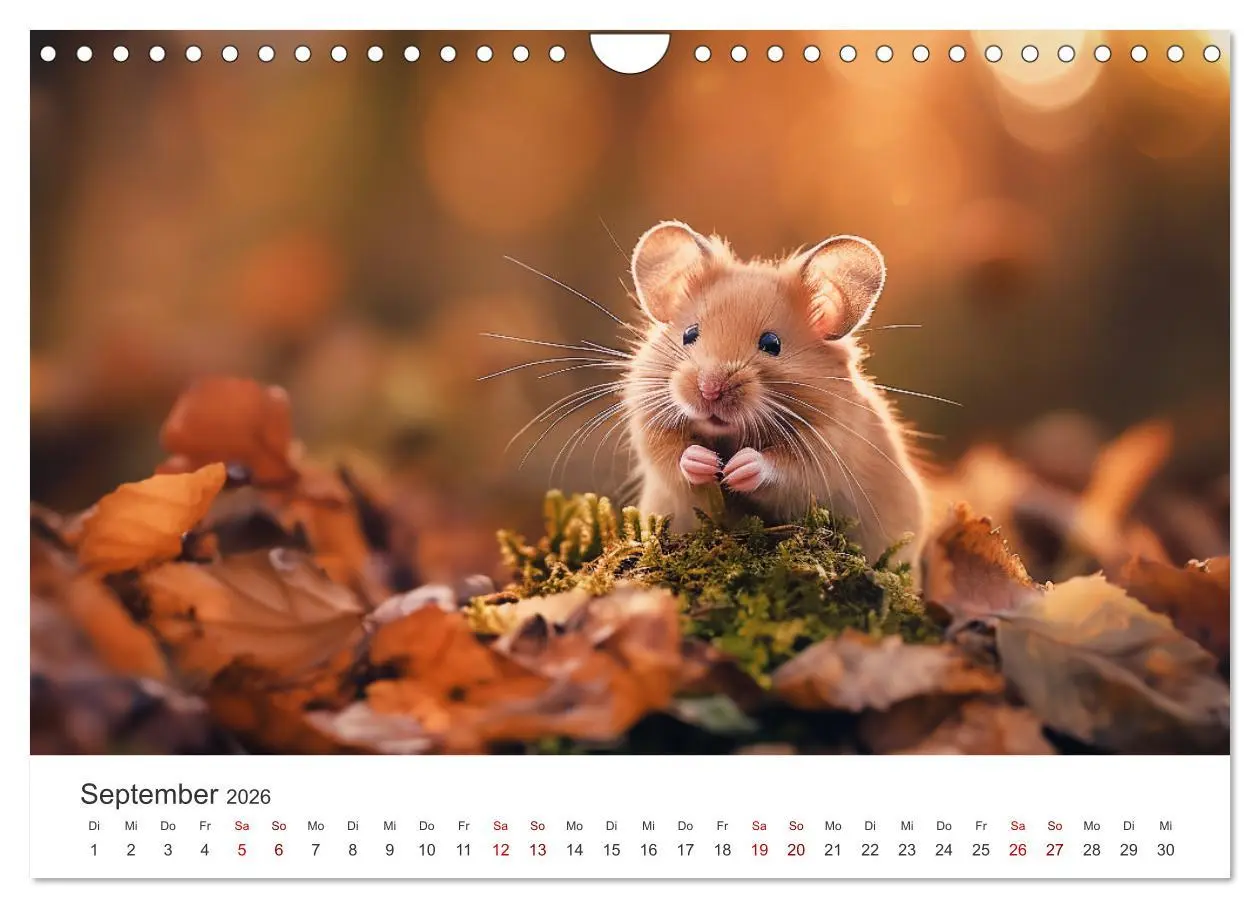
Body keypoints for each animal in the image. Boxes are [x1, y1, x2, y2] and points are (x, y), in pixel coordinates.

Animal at [624, 220, 929, 570]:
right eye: (689, 334)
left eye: (772, 344)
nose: (709, 389)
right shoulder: (648, 420)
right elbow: (671, 455)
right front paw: (707, 462)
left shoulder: (826, 453)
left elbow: (782, 470)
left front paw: (736, 469)